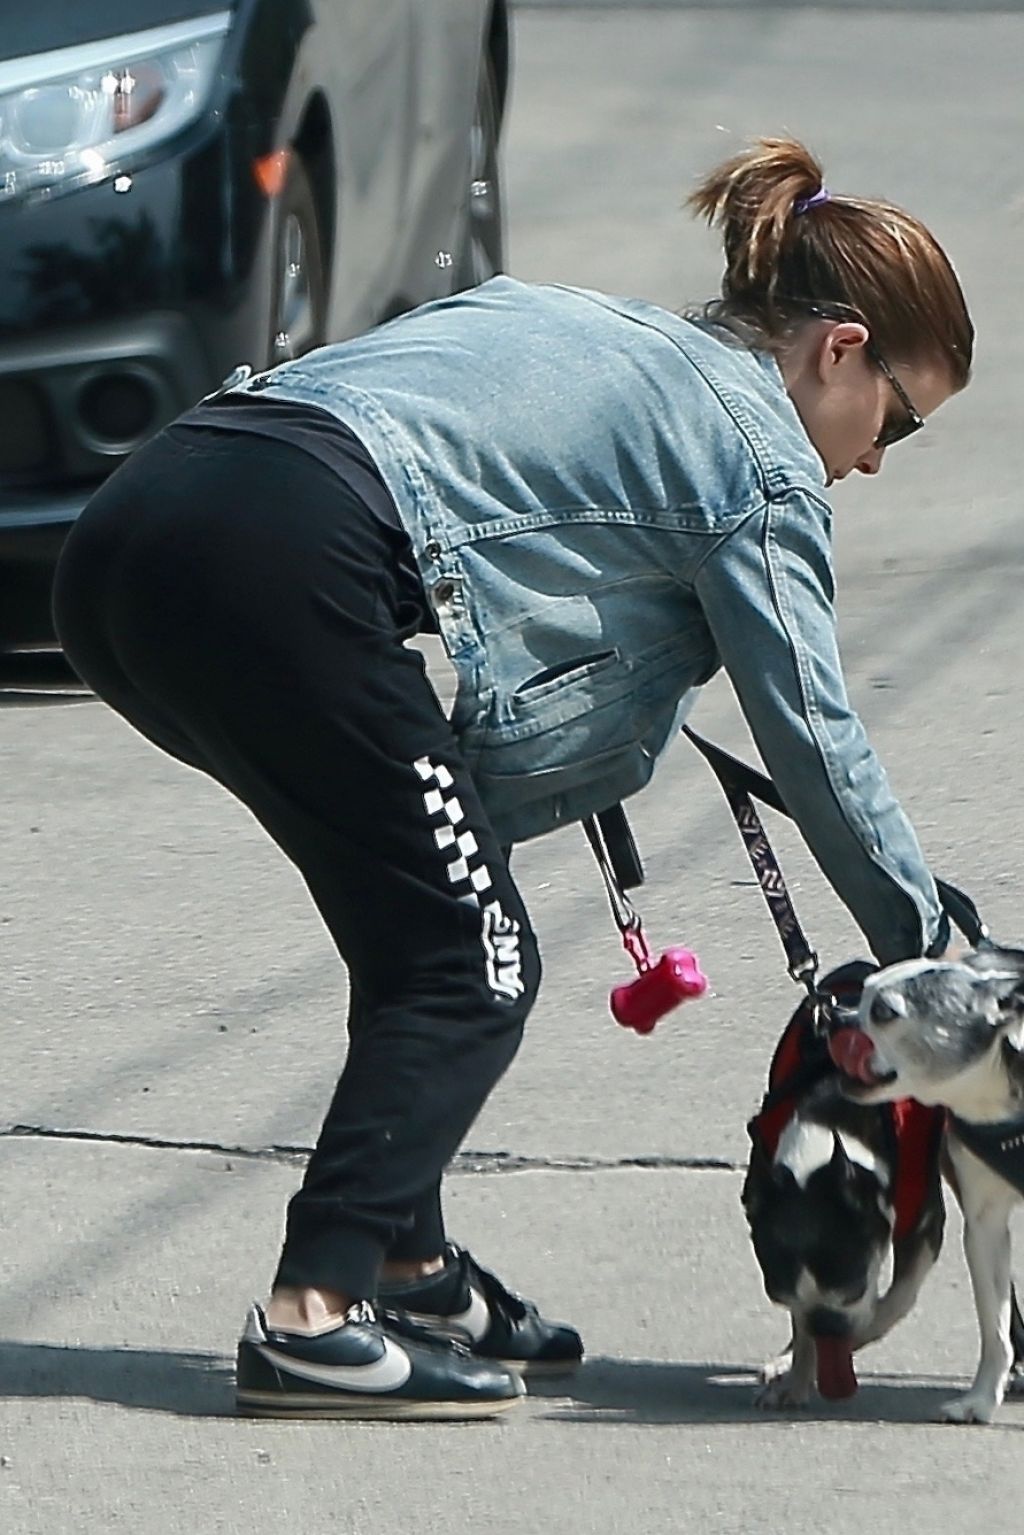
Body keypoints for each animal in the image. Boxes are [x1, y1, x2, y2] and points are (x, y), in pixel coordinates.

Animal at [739, 963, 951, 1406]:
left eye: (852, 1285)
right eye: (778, 1293)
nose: (826, 1325)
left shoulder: (922, 1226)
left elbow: (895, 1300)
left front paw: (851, 1340)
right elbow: (801, 1328)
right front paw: (798, 1374)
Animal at [835, 945, 1024, 1424]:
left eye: (883, 1012)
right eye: (860, 993)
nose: (833, 1015)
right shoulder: (985, 1228)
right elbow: (995, 1326)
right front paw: (980, 1400)